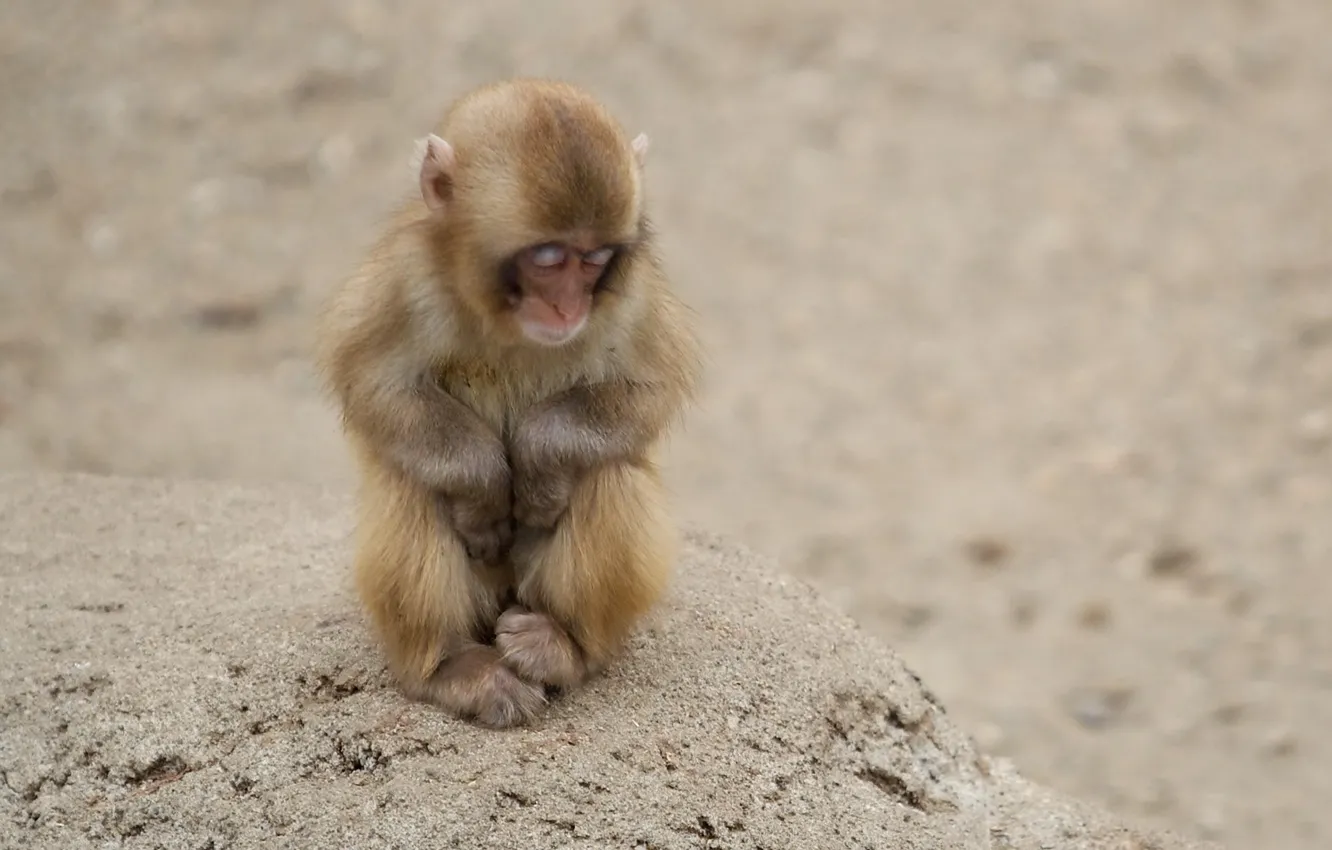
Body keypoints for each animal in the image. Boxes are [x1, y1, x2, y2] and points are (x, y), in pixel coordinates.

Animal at [315, 78, 702, 728]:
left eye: (595, 259)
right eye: (547, 258)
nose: (568, 307)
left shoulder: (633, 293)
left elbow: (648, 388)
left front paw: (539, 465)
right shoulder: (404, 276)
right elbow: (373, 382)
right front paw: (483, 489)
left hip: (528, 584)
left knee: (610, 474)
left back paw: (564, 646)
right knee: (410, 483)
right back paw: (451, 667)